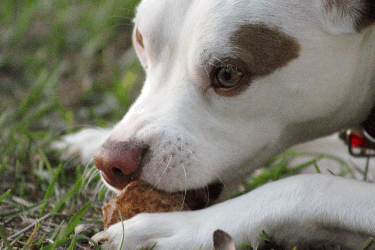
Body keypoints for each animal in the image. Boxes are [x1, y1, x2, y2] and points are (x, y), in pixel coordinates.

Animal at [55, 0, 375, 249]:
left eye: (228, 75)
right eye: (140, 42)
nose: (111, 162)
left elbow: (309, 186)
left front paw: (183, 228)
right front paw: (89, 141)